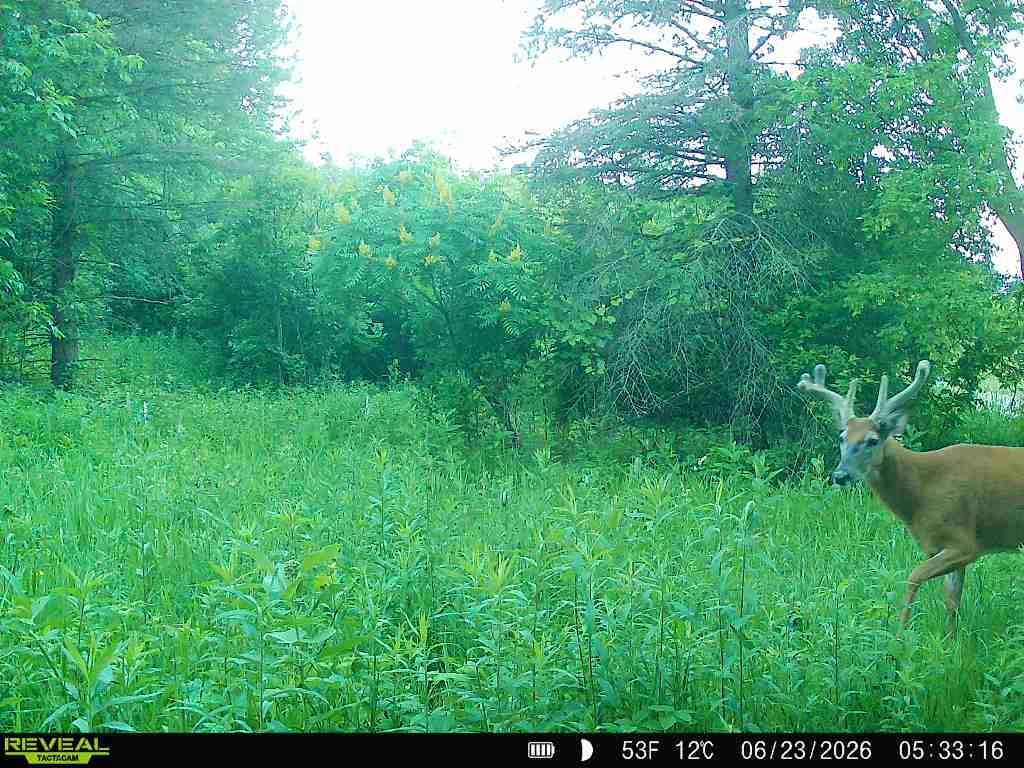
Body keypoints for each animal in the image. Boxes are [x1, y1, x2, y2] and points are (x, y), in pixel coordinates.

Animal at [797, 360, 1024, 634]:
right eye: (842, 437)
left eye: (872, 440)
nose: (840, 475)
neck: (921, 494)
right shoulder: (945, 547)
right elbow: (952, 602)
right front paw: (950, 641)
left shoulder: (965, 542)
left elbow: (914, 577)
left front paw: (900, 633)